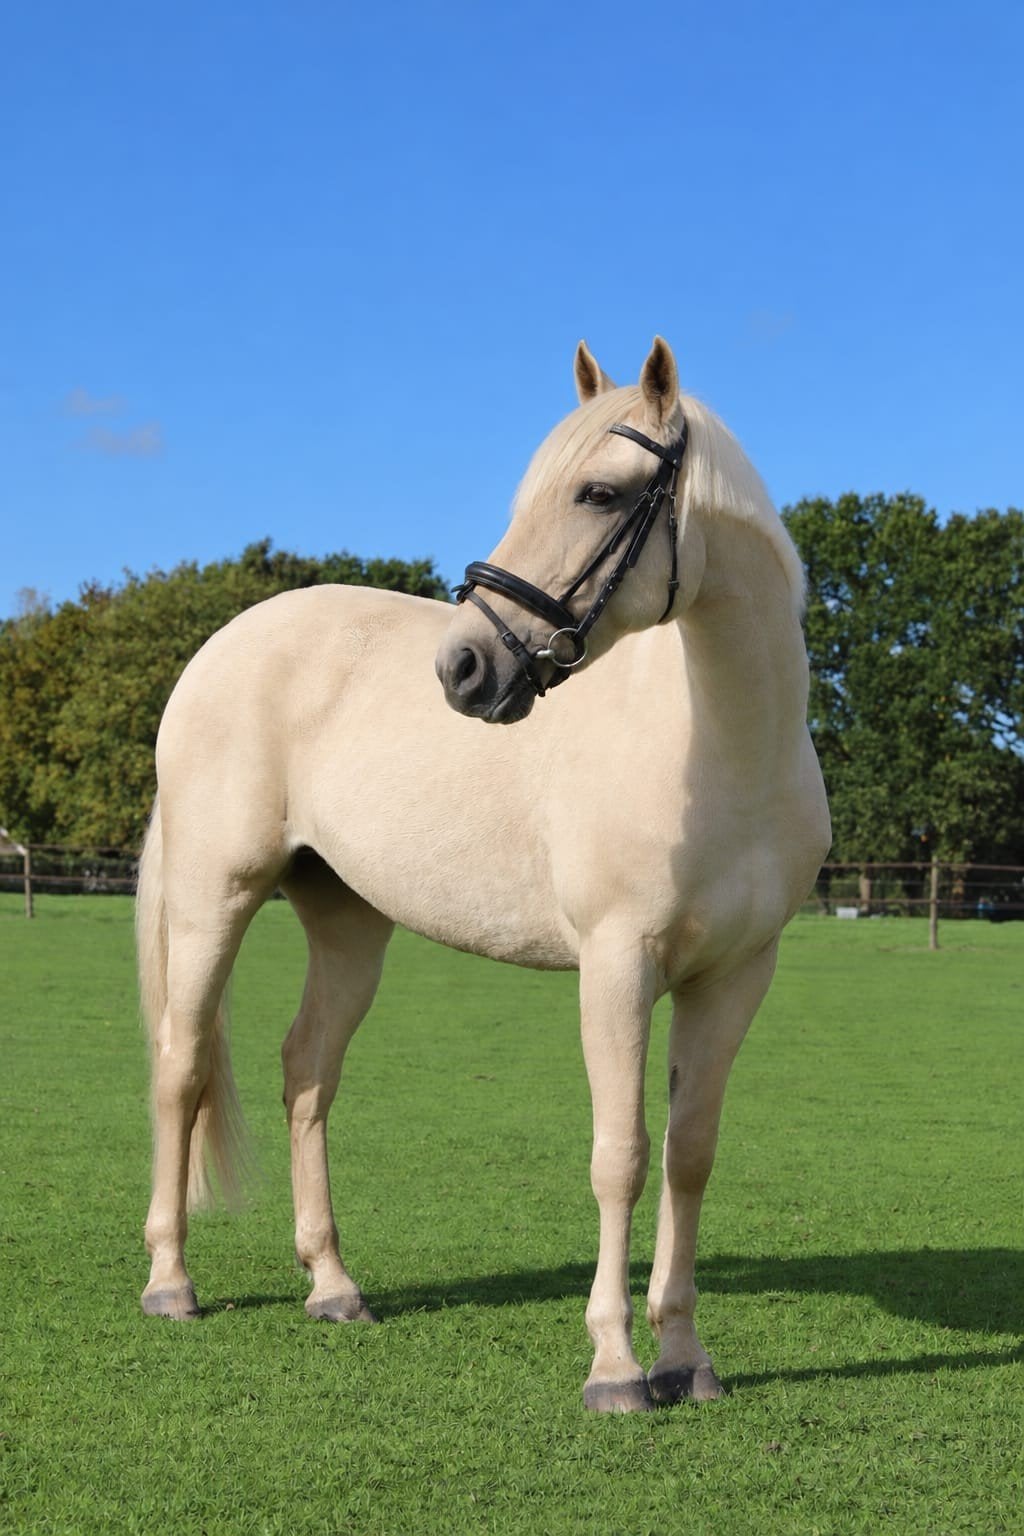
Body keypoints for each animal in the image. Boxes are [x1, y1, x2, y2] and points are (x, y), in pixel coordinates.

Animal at [136, 336, 830, 1413]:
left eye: (597, 492)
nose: (463, 668)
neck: (720, 749)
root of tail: (220, 646)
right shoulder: (617, 967)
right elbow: (621, 1157)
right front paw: (615, 1368)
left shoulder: (734, 977)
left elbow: (689, 1156)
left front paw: (685, 1357)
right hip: (216, 895)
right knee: (181, 1064)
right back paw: (171, 1282)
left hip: (348, 924)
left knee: (307, 1072)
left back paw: (333, 1286)